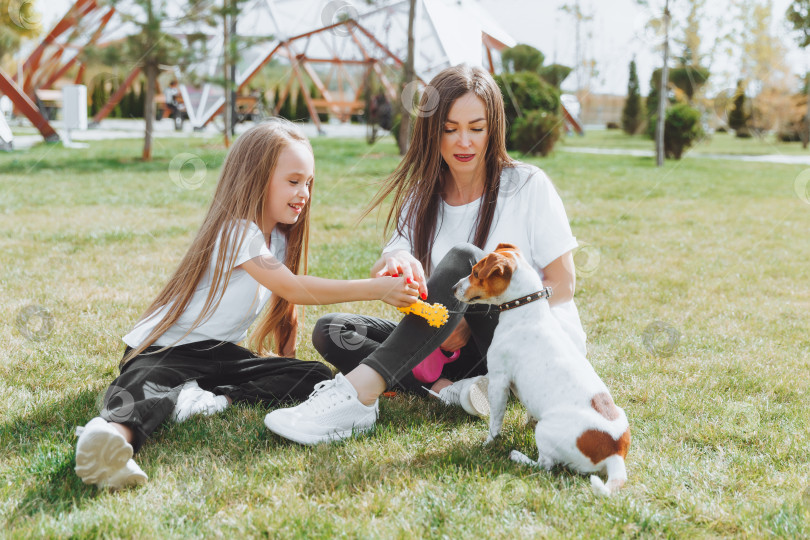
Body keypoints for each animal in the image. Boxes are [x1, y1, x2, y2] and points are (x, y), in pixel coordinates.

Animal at [452, 243, 628, 496]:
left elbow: (495, 420)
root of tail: (615, 451)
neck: (525, 310)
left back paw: (518, 457)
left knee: (545, 466)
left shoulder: (499, 381)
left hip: (545, 432)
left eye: (476, 273)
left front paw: (488, 443)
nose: (453, 288)